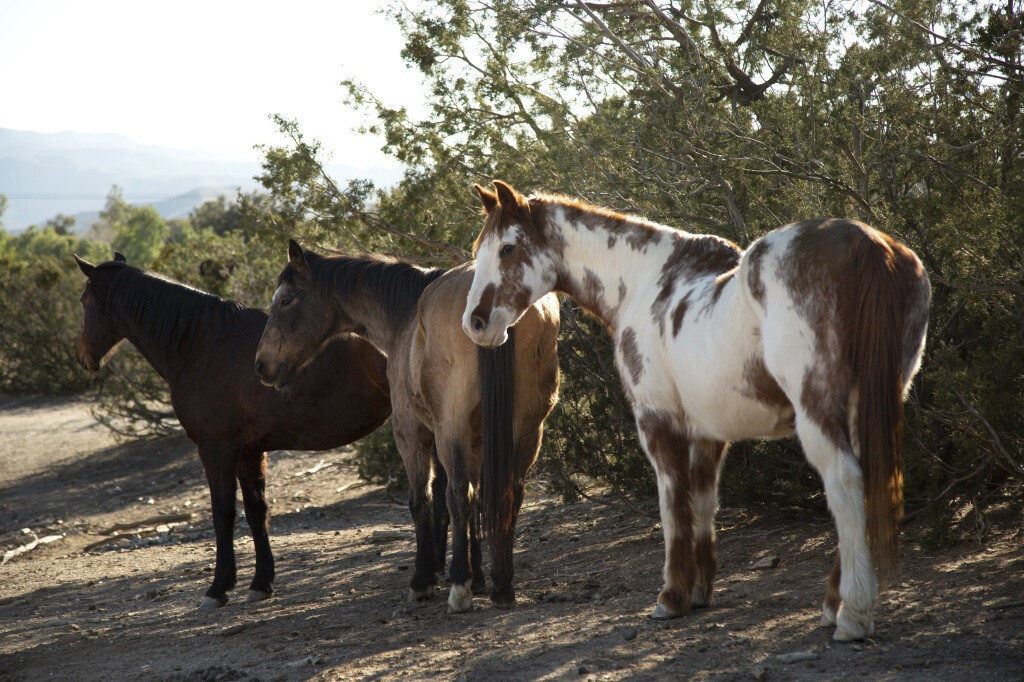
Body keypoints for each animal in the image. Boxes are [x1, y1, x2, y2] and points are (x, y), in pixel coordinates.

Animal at [73, 251, 391, 606]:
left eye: (84, 299)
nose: (84, 357)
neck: (200, 344)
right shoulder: (249, 452)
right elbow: (255, 512)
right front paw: (261, 583)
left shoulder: (216, 451)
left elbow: (222, 515)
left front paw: (218, 589)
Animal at [256, 240, 561, 610]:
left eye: (285, 300)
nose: (261, 365)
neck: (406, 316)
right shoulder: (477, 438)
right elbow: (474, 505)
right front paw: (478, 578)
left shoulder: (410, 431)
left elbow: (423, 501)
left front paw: (425, 579)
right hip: (527, 428)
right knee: (509, 491)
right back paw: (502, 585)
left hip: (451, 429)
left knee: (458, 493)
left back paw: (459, 588)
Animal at [460, 180, 933, 638]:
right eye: (478, 250)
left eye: (507, 248)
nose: (475, 323)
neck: (642, 283)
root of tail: (868, 244)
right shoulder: (708, 433)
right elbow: (704, 505)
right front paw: (701, 592)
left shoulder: (657, 423)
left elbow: (674, 507)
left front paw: (671, 598)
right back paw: (834, 606)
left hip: (818, 411)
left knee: (845, 483)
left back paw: (851, 615)